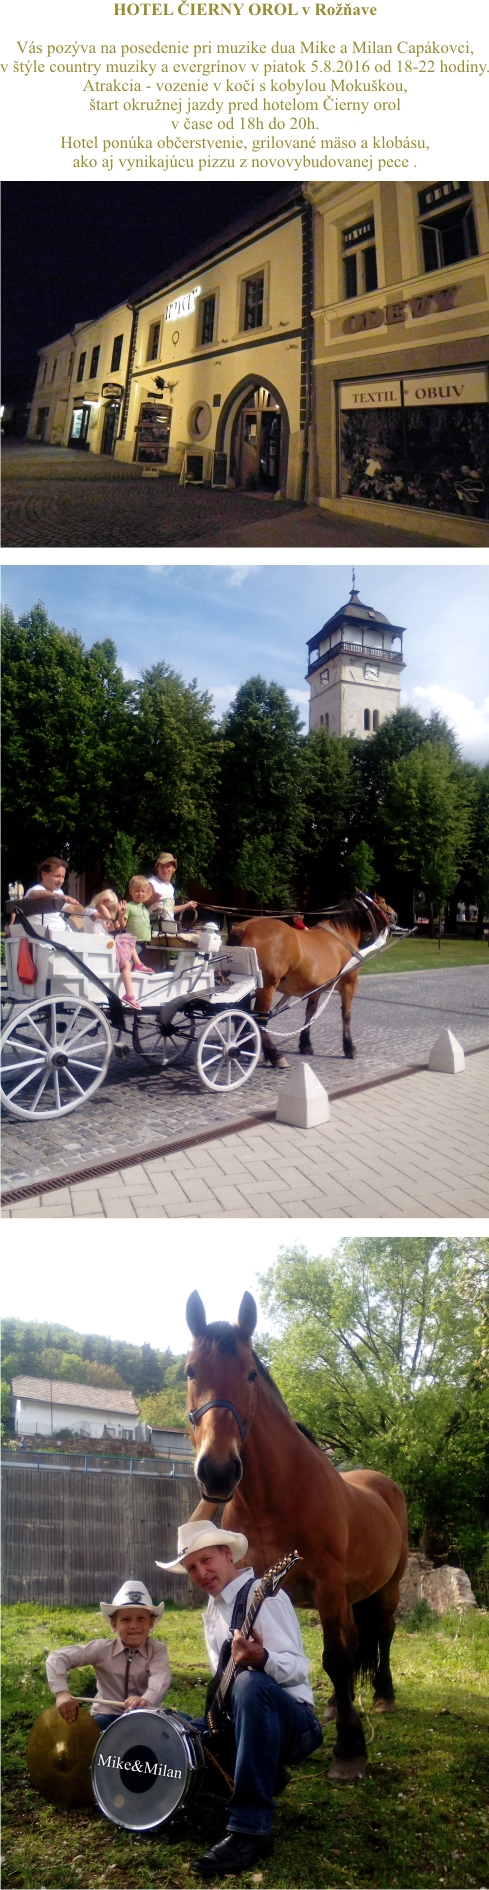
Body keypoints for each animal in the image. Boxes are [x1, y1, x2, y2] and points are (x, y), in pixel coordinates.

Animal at [185, 1292, 407, 1776]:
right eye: (190, 1371)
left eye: (250, 1373)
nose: (217, 1471)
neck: (276, 1496)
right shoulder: (263, 1583)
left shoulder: (327, 1585)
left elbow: (337, 1658)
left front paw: (349, 1749)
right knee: (357, 1640)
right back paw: (338, 1705)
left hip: (386, 1589)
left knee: (381, 1634)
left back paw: (382, 1696)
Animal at [231, 888, 398, 1065]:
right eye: (383, 901)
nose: (395, 915)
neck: (341, 936)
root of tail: (244, 928)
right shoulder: (349, 984)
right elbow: (346, 1014)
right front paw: (349, 1047)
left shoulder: (315, 988)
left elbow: (310, 1014)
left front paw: (305, 1044)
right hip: (267, 987)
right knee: (259, 1020)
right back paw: (274, 1055)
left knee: (240, 1017)